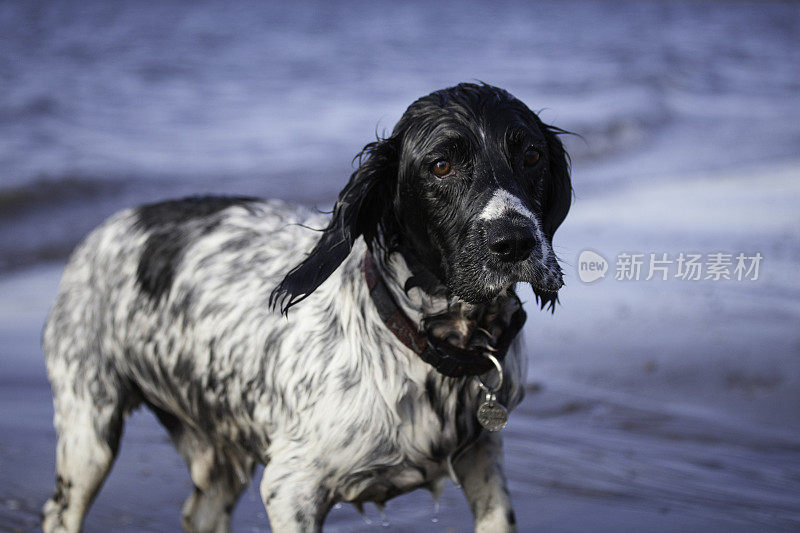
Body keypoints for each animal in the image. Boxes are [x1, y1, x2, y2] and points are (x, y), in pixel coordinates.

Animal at [42, 81, 568, 528]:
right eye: (442, 165)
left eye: (532, 155)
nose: (515, 241)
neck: (424, 340)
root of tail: (104, 228)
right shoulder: (290, 488)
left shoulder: (483, 459)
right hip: (89, 433)